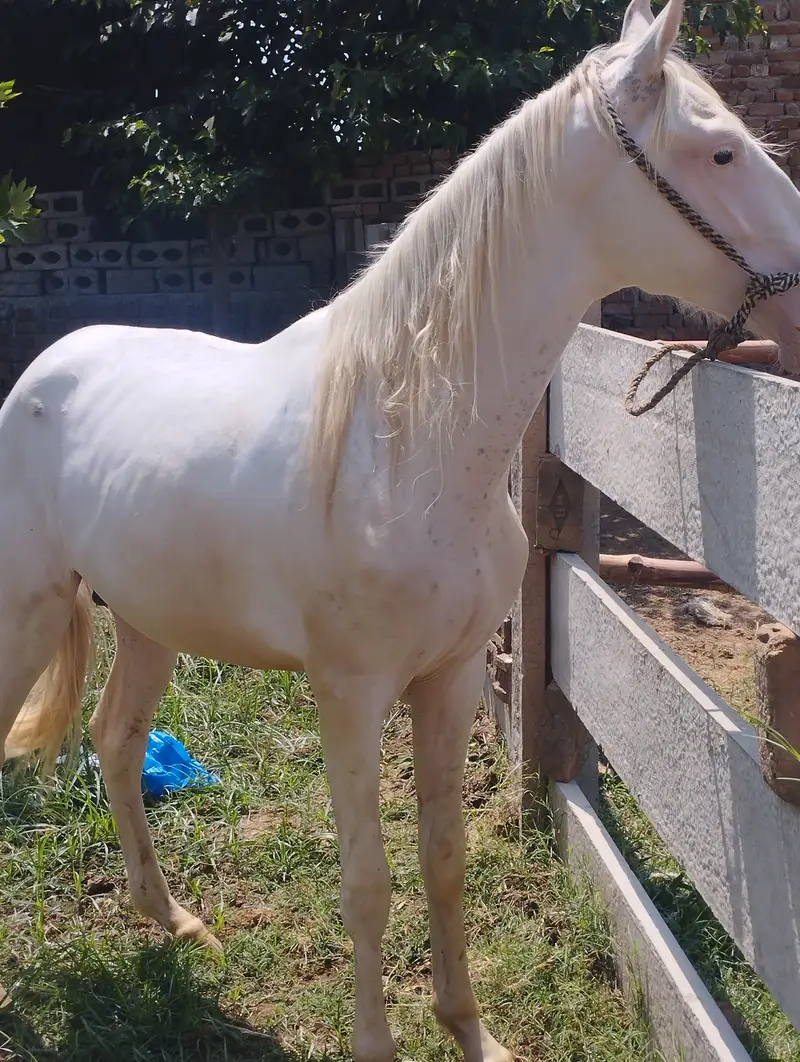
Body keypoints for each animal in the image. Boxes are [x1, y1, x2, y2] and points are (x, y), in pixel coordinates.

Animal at [3, 1, 800, 1059]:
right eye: (719, 153)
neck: (405, 445)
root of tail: (47, 365)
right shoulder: (349, 694)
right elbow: (368, 883)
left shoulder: (450, 678)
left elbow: (443, 857)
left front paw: (470, 1030)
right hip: (25, 616)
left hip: (146, 620)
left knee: (117, 742)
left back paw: (169, 920)